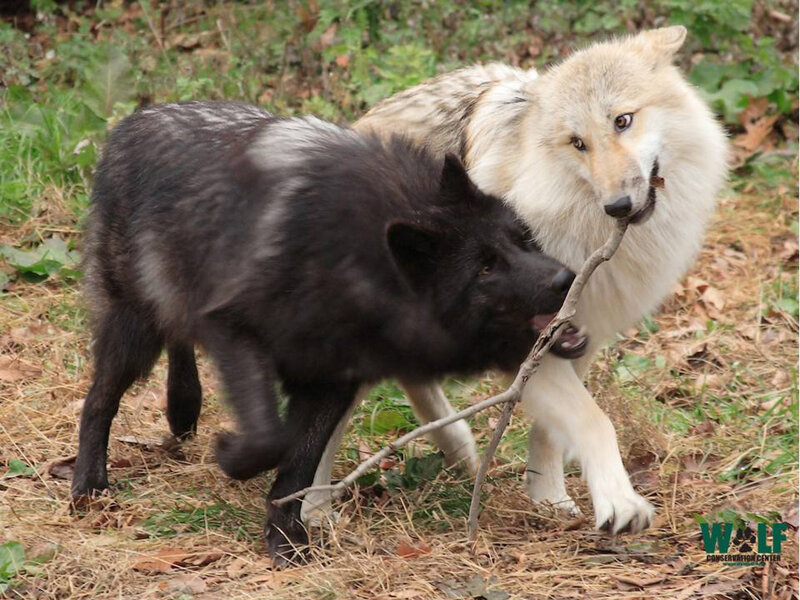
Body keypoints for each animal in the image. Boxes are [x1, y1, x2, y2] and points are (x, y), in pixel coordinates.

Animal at [71, 101, 588, 564]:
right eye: (484, 268)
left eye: (522, 239)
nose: (565, 279)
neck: (352, 264)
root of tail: (132, 123)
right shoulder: (234, 329)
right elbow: (269, 438)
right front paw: (232, 459)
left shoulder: (333, 378)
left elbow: (297, 465)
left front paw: (286, 540)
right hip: (133, 331)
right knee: (99, 400)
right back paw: (88, 484)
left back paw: (180, 413)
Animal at [306, 26, 729, 534]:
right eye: (577, 143)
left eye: (623, 121)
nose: (619, 206)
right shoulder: (522, 344)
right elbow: (595, 421)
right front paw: (619, 502)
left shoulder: (578, 337)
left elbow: (552, 432)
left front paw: (548, 499)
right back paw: (311, 513)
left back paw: (460, 453)